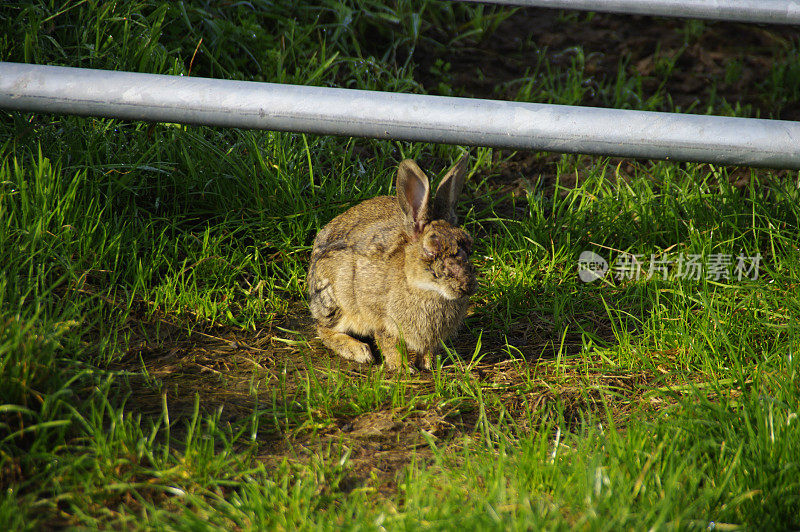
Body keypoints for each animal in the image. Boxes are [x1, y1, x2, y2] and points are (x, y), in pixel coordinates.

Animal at [308, 156, 476, 370]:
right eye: (431, 250)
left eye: (469, 245)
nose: (467, 286)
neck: (425, 289)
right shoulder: (381, 319)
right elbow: (389, 342)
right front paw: (403, 367)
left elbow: (428, 348)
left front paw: (428, 365)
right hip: (335, 299)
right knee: (323, 329)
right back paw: (358, 351)